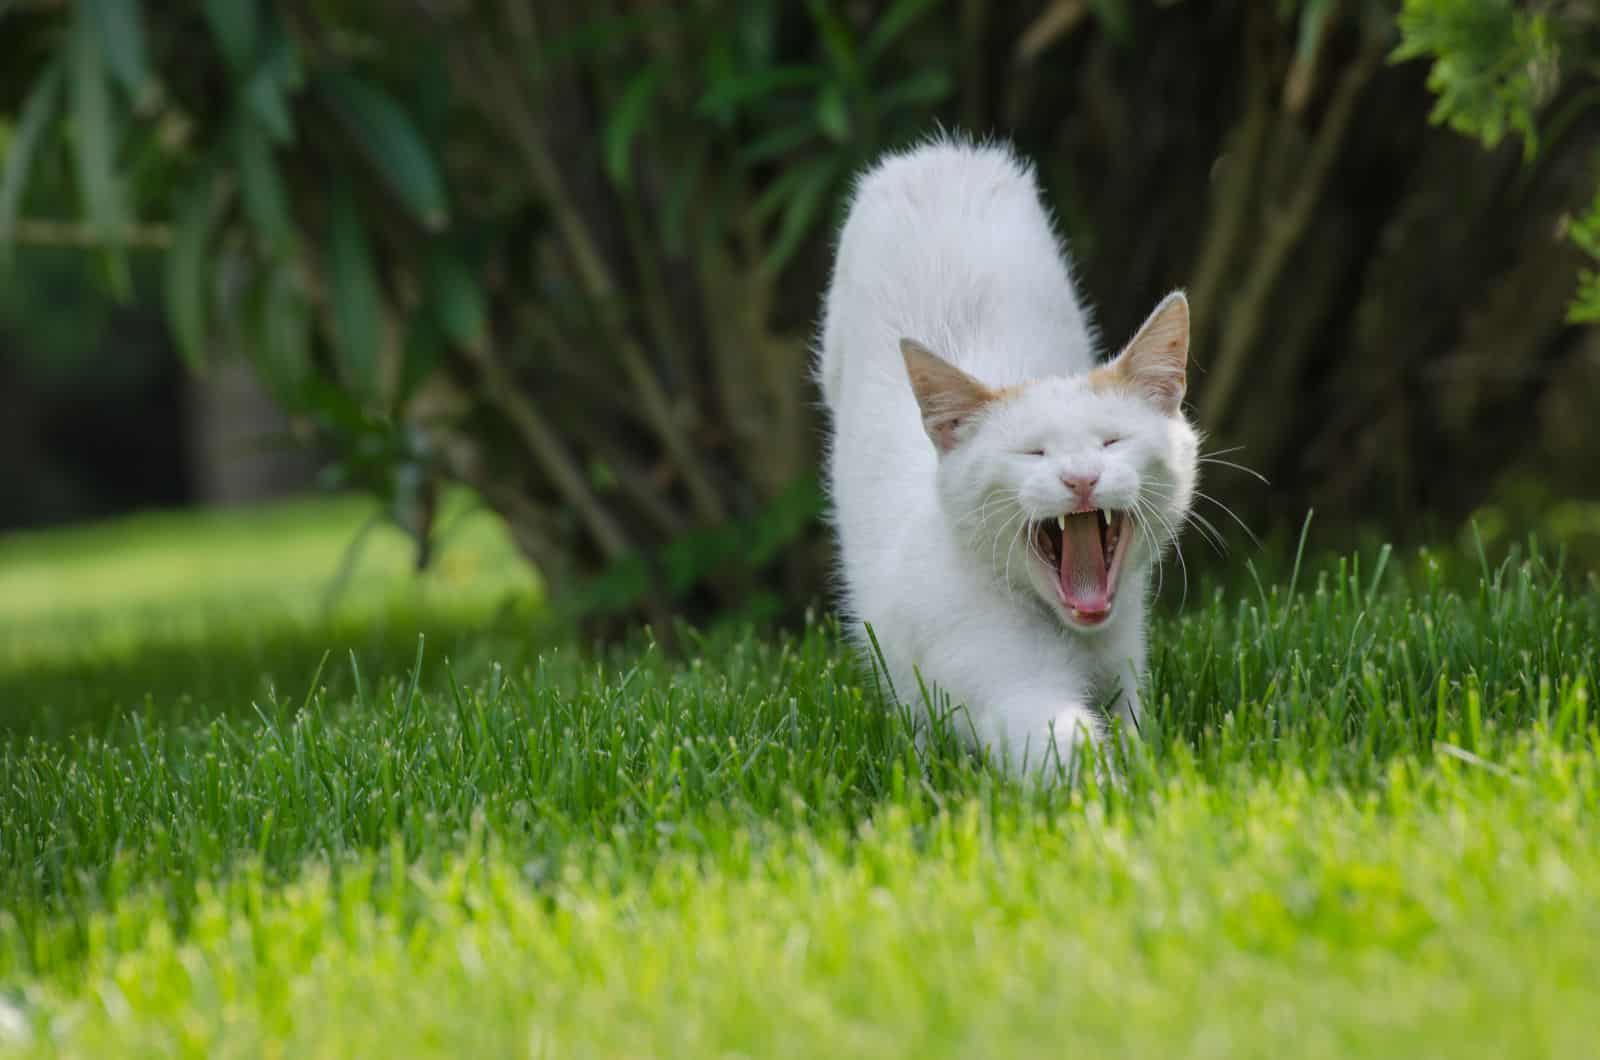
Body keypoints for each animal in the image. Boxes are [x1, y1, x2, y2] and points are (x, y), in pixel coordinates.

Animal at [819, 136, 1196, 778]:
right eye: (1032, 452)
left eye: (1112, 441)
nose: (1081, 478)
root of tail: (935, 153)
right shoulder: (1005, 684)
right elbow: (1065, 743)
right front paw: (1124, 793)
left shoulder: (1124, 662)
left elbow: (1130, 725)